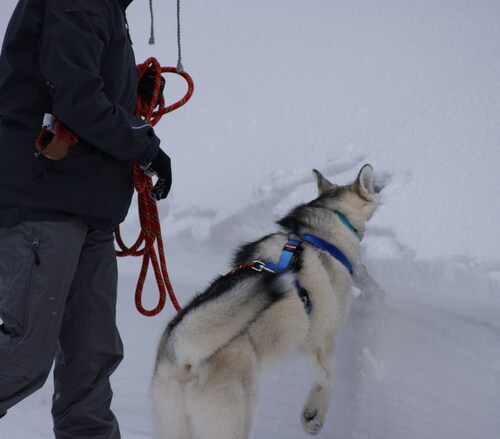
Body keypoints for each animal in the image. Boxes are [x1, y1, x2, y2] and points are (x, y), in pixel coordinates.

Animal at [152, 166, 378, 439]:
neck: (319, 234)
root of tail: (181, 350)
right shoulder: (322, 338)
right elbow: (328, 378)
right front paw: (313, 415)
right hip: (233, 419)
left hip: (174, 424)